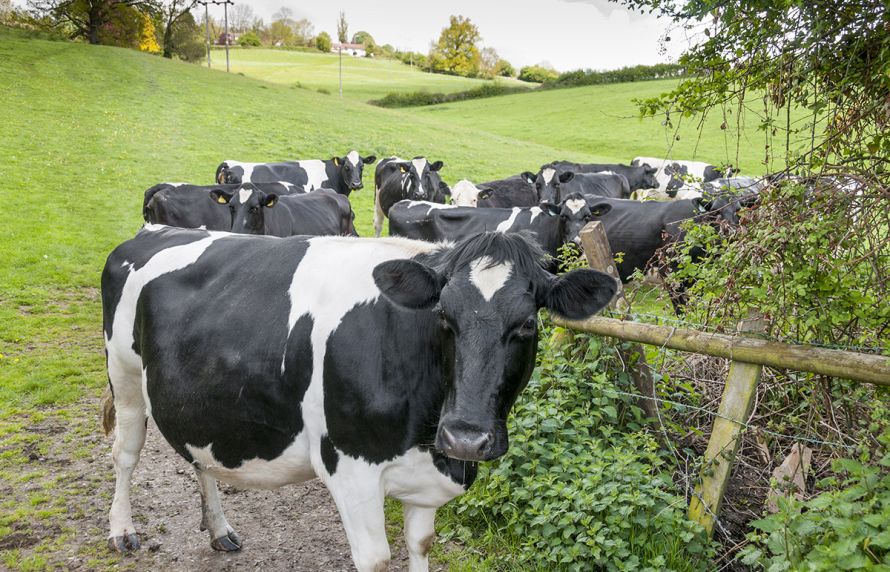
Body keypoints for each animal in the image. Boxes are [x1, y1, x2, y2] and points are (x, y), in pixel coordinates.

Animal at [102, 228, 616, 572]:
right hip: (123, 375)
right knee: (125, 453)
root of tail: (152, 230)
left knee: (198, 455)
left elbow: (420, 545)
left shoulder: (427, 477)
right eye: (443, 317)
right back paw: (122, 531)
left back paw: (220, 530)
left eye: (528, 323)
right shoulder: (349, 470)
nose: (466, 438)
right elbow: (376, 558)